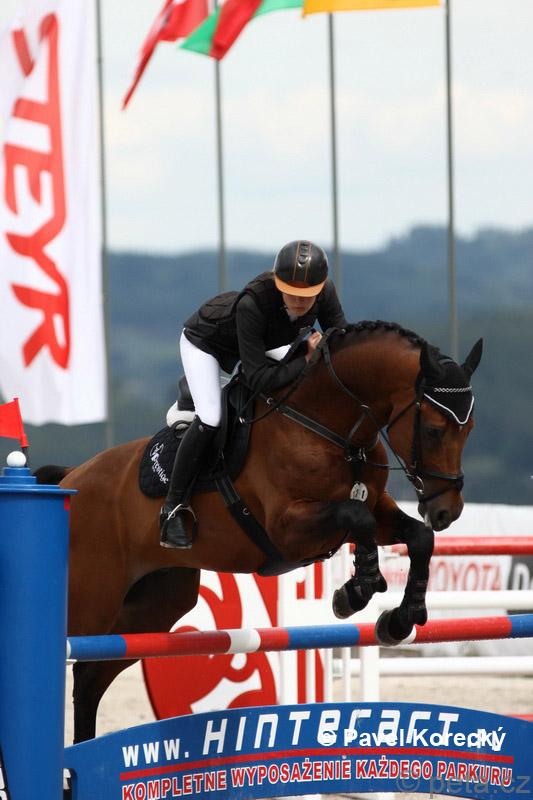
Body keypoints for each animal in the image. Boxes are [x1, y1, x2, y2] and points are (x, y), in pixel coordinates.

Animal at [44, 321, 482, 744]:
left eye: (470, 428)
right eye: (434, 429)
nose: (447, 511)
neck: (328, 424)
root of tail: (72, 478)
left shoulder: (376, 508)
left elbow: (415, 536)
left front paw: (399, 619)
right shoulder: (288, 529)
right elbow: (358, 518)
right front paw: (355, 592)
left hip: (155, 606)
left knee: (90, 678)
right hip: (92, 600)